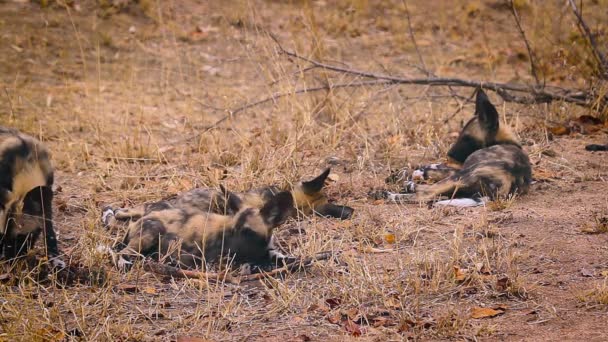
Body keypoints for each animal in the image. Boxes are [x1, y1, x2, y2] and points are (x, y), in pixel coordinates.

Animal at [0, 125, 64, 268]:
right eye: (2, 238)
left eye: (18, 239)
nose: (7, 260)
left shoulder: (45, 201)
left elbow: (49, 232)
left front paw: (54, 257)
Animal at [111, 190, 296, 270]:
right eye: (232, 230)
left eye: (248, 232)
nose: (230, 250)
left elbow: (280, 257)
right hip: (151, 232)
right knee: (123, 252)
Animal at [384, 89, 532, 206]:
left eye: (467, 138)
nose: (449, 153)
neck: (507, 142)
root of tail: (506, 183)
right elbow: (433, 167)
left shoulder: (461, 169)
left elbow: (435, 170)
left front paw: (414, 173)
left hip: (460, 177)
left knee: (426, 193)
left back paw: (397, 192)